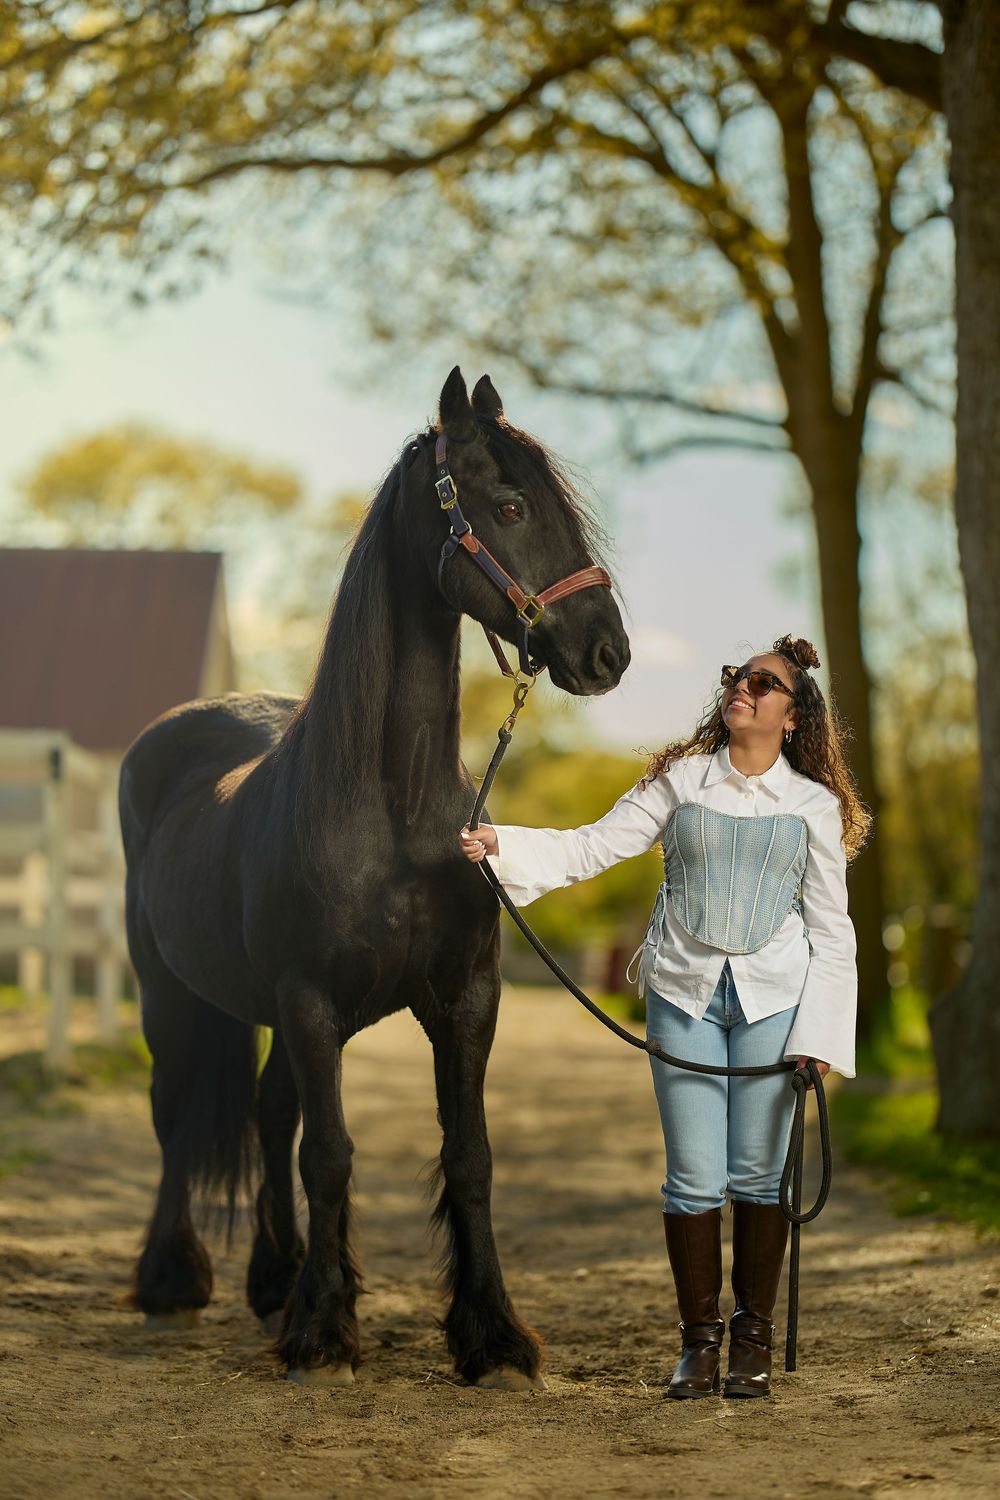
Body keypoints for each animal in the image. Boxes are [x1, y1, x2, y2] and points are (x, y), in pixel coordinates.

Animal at [119, 366, 630, 1388]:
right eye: (509, 505)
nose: (610, 652)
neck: (393, 812)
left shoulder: (465, 998)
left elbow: (467, 1154)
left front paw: (492, 1333)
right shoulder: (311, 1001)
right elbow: (331, 1156)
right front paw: (323, 1334)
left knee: (268, 1113)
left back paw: (274, 1279)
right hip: (169, 996)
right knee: (177, 1117)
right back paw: (173, 1279)